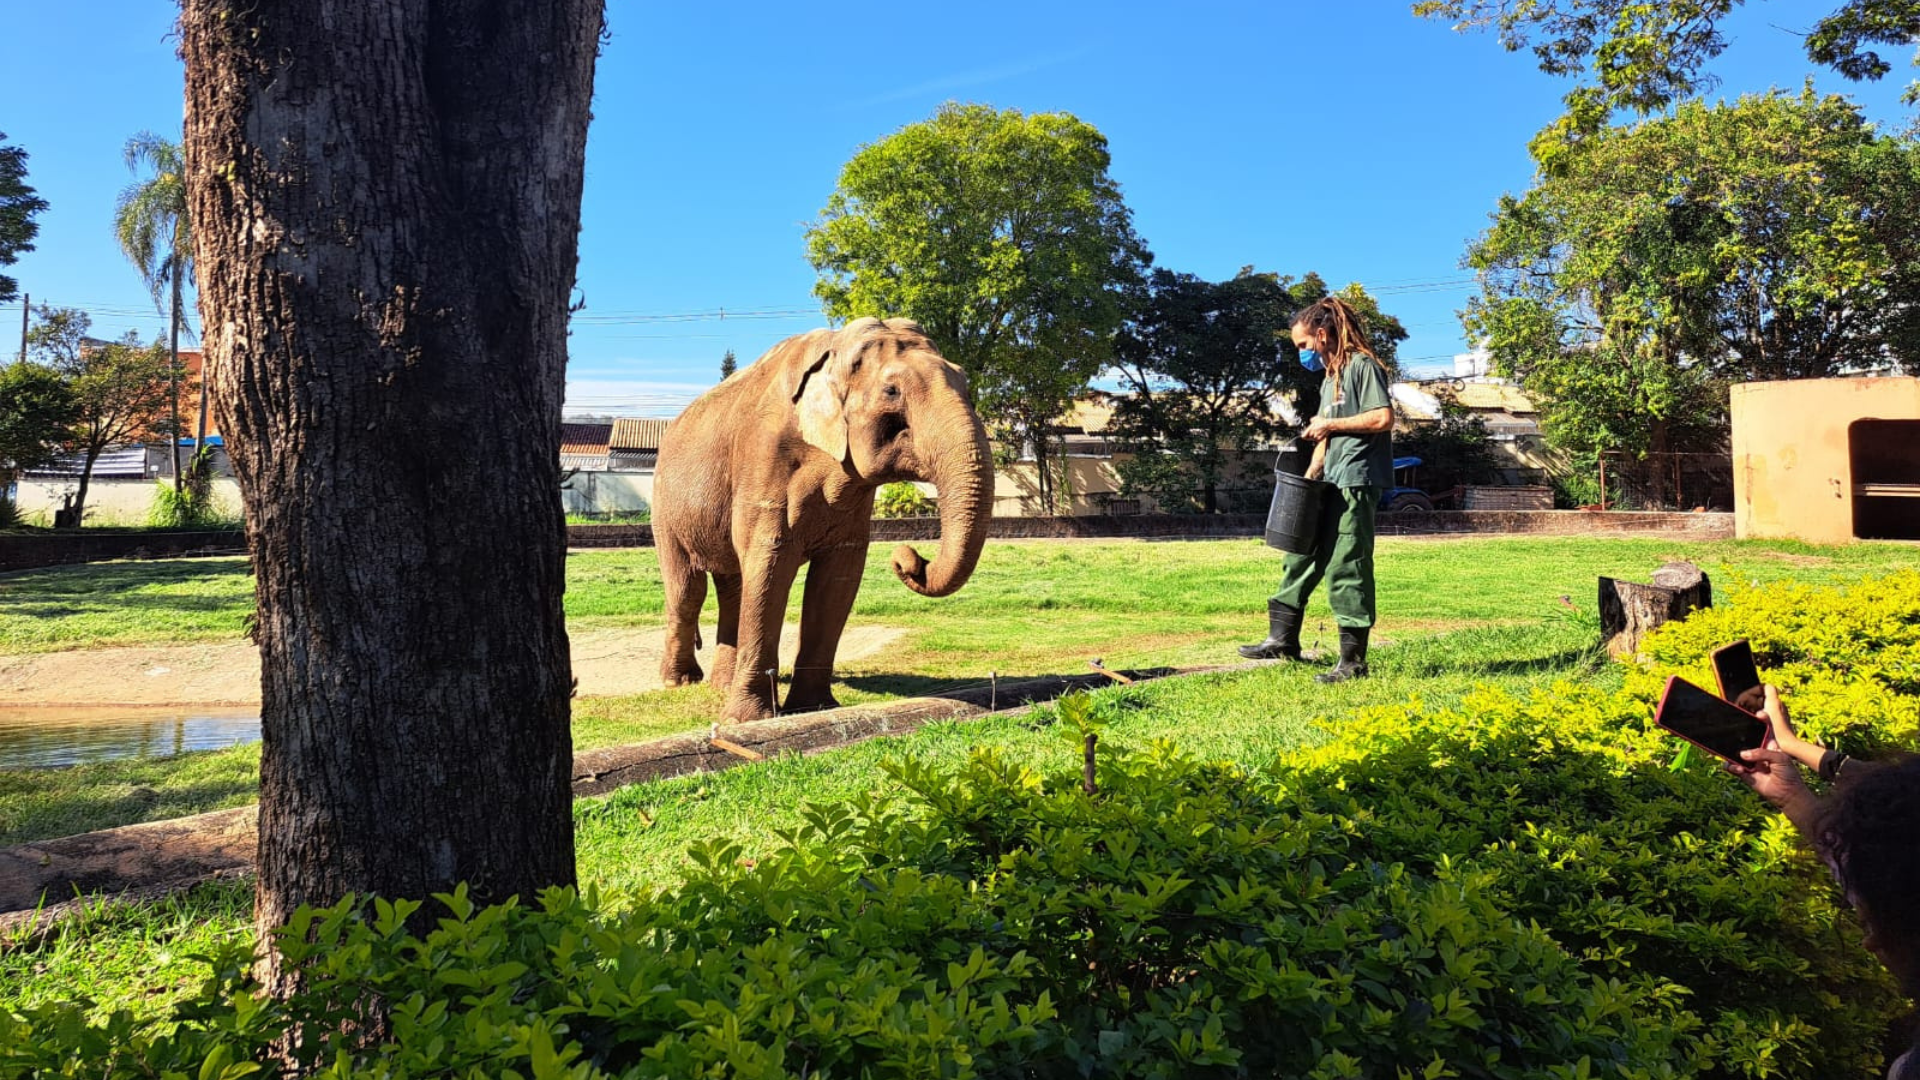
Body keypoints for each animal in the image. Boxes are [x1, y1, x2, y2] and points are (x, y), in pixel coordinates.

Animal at [652, 317, 994, 722]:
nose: (908, 557)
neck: (835, 346)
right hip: (664, 509)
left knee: (732, 588)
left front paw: (813, 707)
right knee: (688, 590)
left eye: (965, 382)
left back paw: (720, 685)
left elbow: (837, 579)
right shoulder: (764, 460)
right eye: (892, 391)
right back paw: (679, 682)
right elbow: (768, 566)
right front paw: (746, 720)